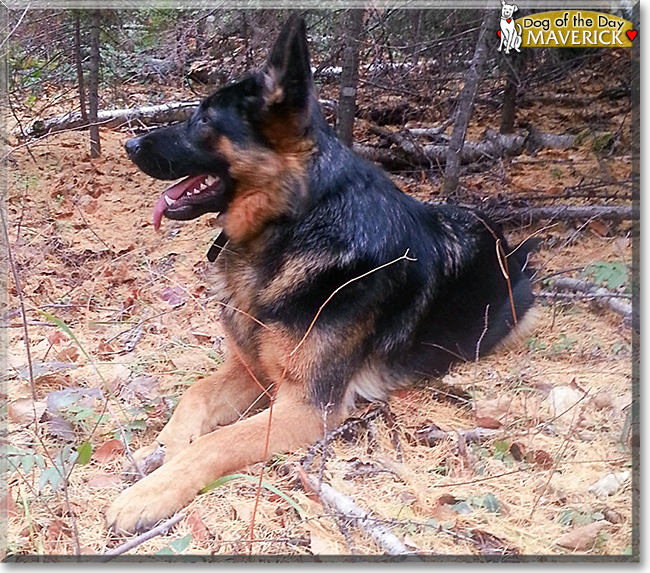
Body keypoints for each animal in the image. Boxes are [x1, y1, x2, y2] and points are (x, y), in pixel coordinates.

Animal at [106, 14, 536, 532]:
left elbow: (217, 442)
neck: (295, 225)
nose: (128, 142)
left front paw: (151, 491)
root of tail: (510, 246)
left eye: (204, 120)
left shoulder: (305, 407)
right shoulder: (251, 370)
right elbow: (194, 394)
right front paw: (165, 447)